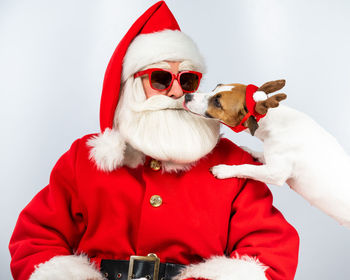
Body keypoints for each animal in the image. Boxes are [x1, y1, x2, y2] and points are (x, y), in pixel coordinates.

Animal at [183, 80, 350, 229]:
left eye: (218, 103)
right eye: (215, 87)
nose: (187, 96)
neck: (274, 121)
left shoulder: (276, 173)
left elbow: (247, 167)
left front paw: (225, 170)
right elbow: (261, 156)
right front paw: (251, 151)